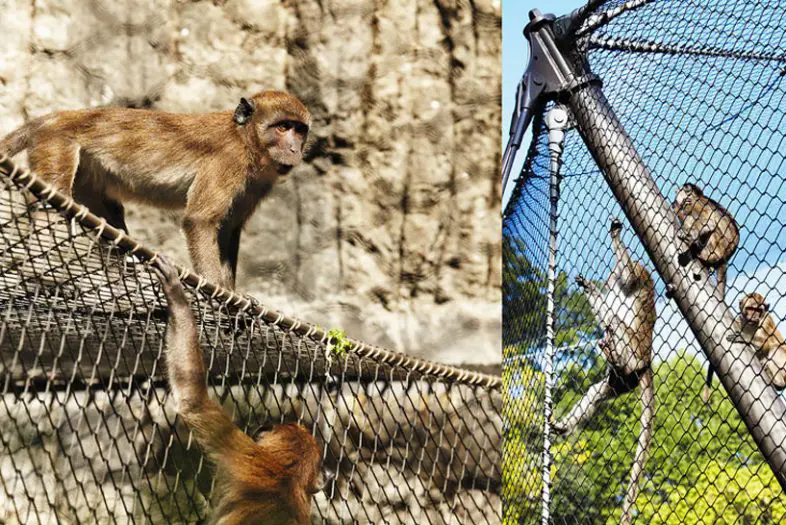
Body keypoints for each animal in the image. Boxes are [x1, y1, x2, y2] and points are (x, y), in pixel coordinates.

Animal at [0, 93, 312, 290]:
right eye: (282, 127)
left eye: (299, 130)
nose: (294, 149)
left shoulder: (257, 181)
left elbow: (228, 228)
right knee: (51, 206)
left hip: (87, 173)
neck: (245, 138)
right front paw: (218, 296)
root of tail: (52, 118)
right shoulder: (229, 158)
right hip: (56, 142)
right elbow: (200, 220)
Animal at [552, 217, 656, 524]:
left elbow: (628, 278)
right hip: (622, 381)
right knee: (598, 390)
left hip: (634, 353)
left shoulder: (637, 276)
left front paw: (615, 236)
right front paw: (588, 287)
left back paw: (618, 357)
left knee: (616, 324)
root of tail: (645, 363)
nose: (608, 279)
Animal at [672, 182, 740, 400]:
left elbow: (704, 222)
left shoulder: (696, 204)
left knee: (703, 225)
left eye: (685, 190)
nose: (681, 193)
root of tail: (725, 256)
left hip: (716, 245)